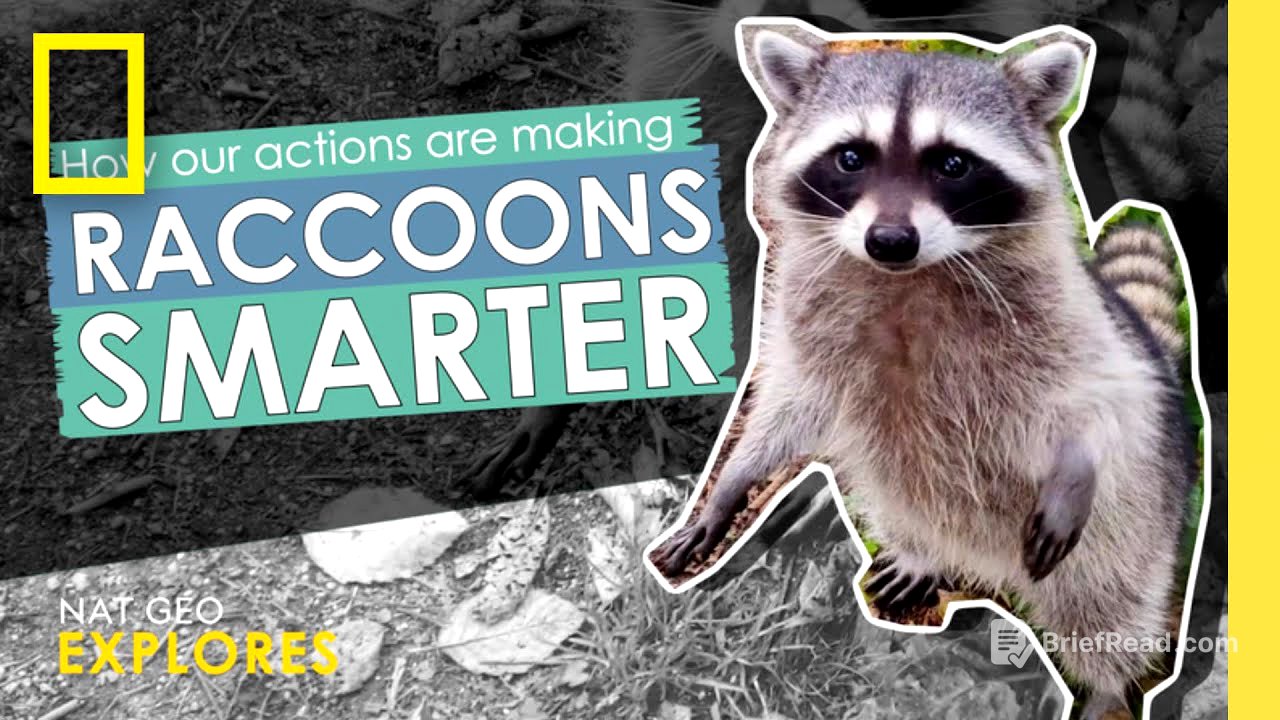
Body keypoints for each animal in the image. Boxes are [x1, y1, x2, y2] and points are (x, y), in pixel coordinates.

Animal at [650, 28, 1196, 718]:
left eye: (953, 164)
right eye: (851, 158)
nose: (890, 240)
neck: (905, 279)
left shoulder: (1063, 314)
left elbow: (1098, 395)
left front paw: (1078, 457)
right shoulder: (805, 318)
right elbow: (788, 405)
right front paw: (731, 484)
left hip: (1131, 521)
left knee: (1105, 601)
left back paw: (1101, 686)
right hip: (910, 497)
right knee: (907, 497)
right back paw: (922, 552)